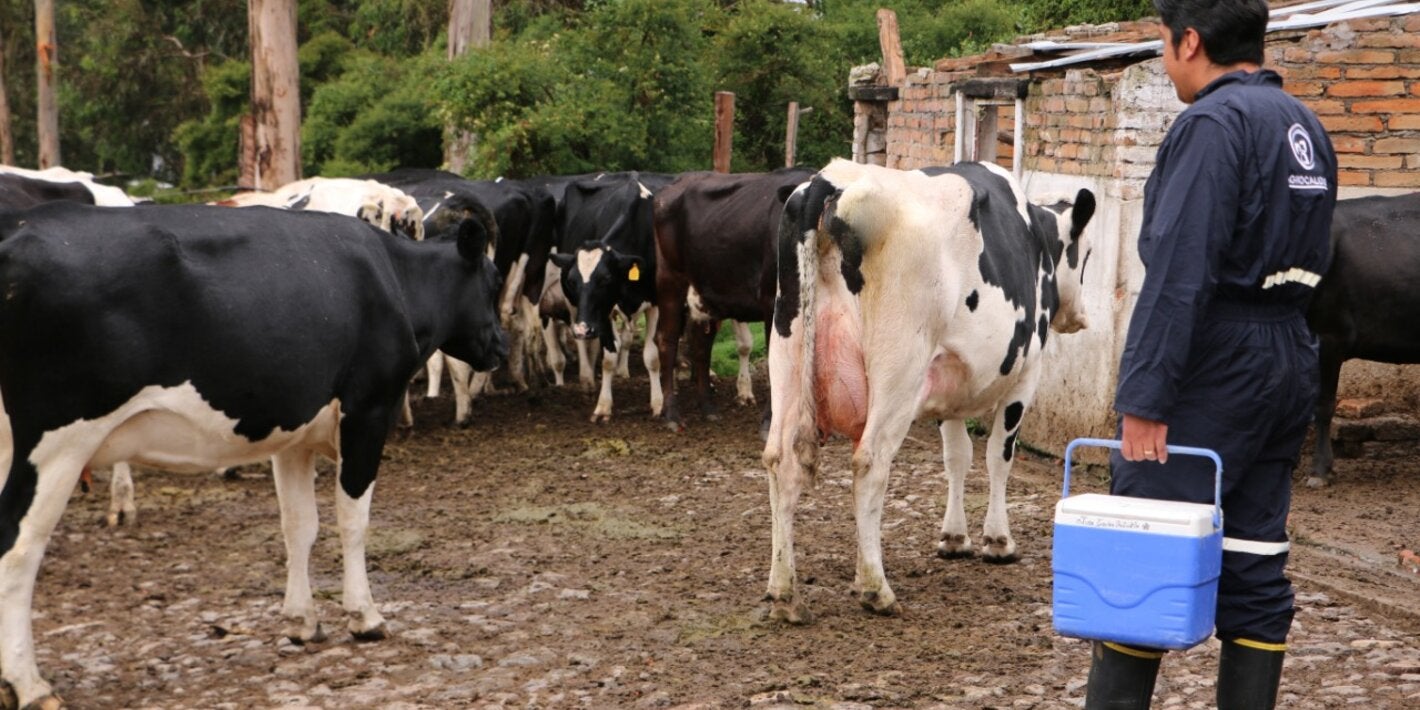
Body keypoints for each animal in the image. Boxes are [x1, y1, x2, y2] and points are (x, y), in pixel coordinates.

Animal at [0, 203, 506, 707]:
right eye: (494, 280)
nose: (502, 347)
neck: (394, 275)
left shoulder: (292, 434)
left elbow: (299, 526)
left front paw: (302, 622)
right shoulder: (368, 411)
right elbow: (352, 520)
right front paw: (365, 617)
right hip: (59, 441)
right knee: (18, 550)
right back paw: (30, 685)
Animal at [546, 172, 663, 422]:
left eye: (605, 279)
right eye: (572, 281)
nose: (584, 329)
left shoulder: (656, 303)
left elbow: (652, 356)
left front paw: (658, 403)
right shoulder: (603, 309)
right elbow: (609, 358)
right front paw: (603, 406)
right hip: (575, 308)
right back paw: (587, 379)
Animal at [652, 168, 815, 430]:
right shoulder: (771, 300)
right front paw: (770, 420)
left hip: (707, 293)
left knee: (701, 346)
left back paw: (708, 407)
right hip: (670, 281)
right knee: (667, 340)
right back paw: (671, 414)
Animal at [761, 159, 1095, 623]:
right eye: (1086, 254)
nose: (1080, 317)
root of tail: (831, 181)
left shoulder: (949, 383)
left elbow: (956, 457)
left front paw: (954, 538)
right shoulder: (1026, 375)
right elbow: (998, 456)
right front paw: (998, 541)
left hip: (787, 357)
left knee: (781, 462)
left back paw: (785, 594)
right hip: (899, 371)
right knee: (870, 464)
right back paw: (875, 589)